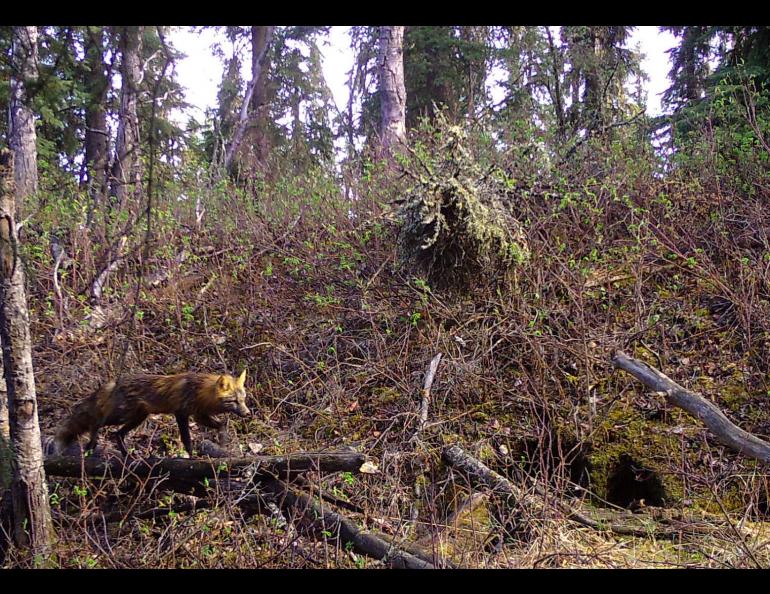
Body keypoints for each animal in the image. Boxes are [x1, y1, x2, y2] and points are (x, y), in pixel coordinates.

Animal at [54, 370, 252, 454]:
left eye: (243, 400)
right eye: (234, 401)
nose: (248, 413)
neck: (200, 392)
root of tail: (115, 382)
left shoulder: (199, 415)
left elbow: (222, 425)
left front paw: (223, 440)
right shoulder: (181, 414)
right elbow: (186, 439)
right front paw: (192, 456)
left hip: (137, 418)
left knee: (117, 434)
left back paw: (128, 456)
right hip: (121, 416)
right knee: (97, 423)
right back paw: (93, 443)